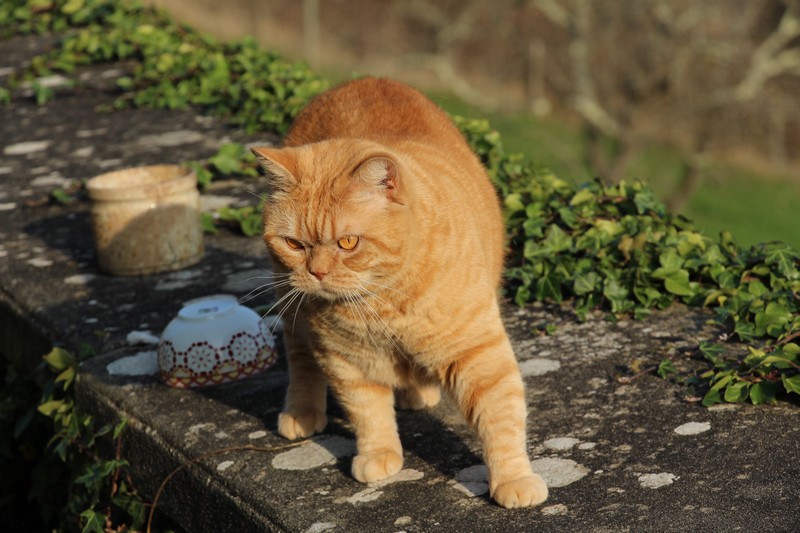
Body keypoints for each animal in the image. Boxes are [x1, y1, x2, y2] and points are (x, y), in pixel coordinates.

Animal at [253, 77, 548, 504]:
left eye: (348, 243)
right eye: (294, 244)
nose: (317, 272)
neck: (382, 301)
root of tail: (364, 79)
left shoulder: (478, 351)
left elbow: (501, 418)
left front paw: (513, 479)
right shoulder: (346, 360)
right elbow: (368, 412)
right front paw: (378, 455)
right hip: (292, 306)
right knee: (301, 358)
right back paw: (303, 412)